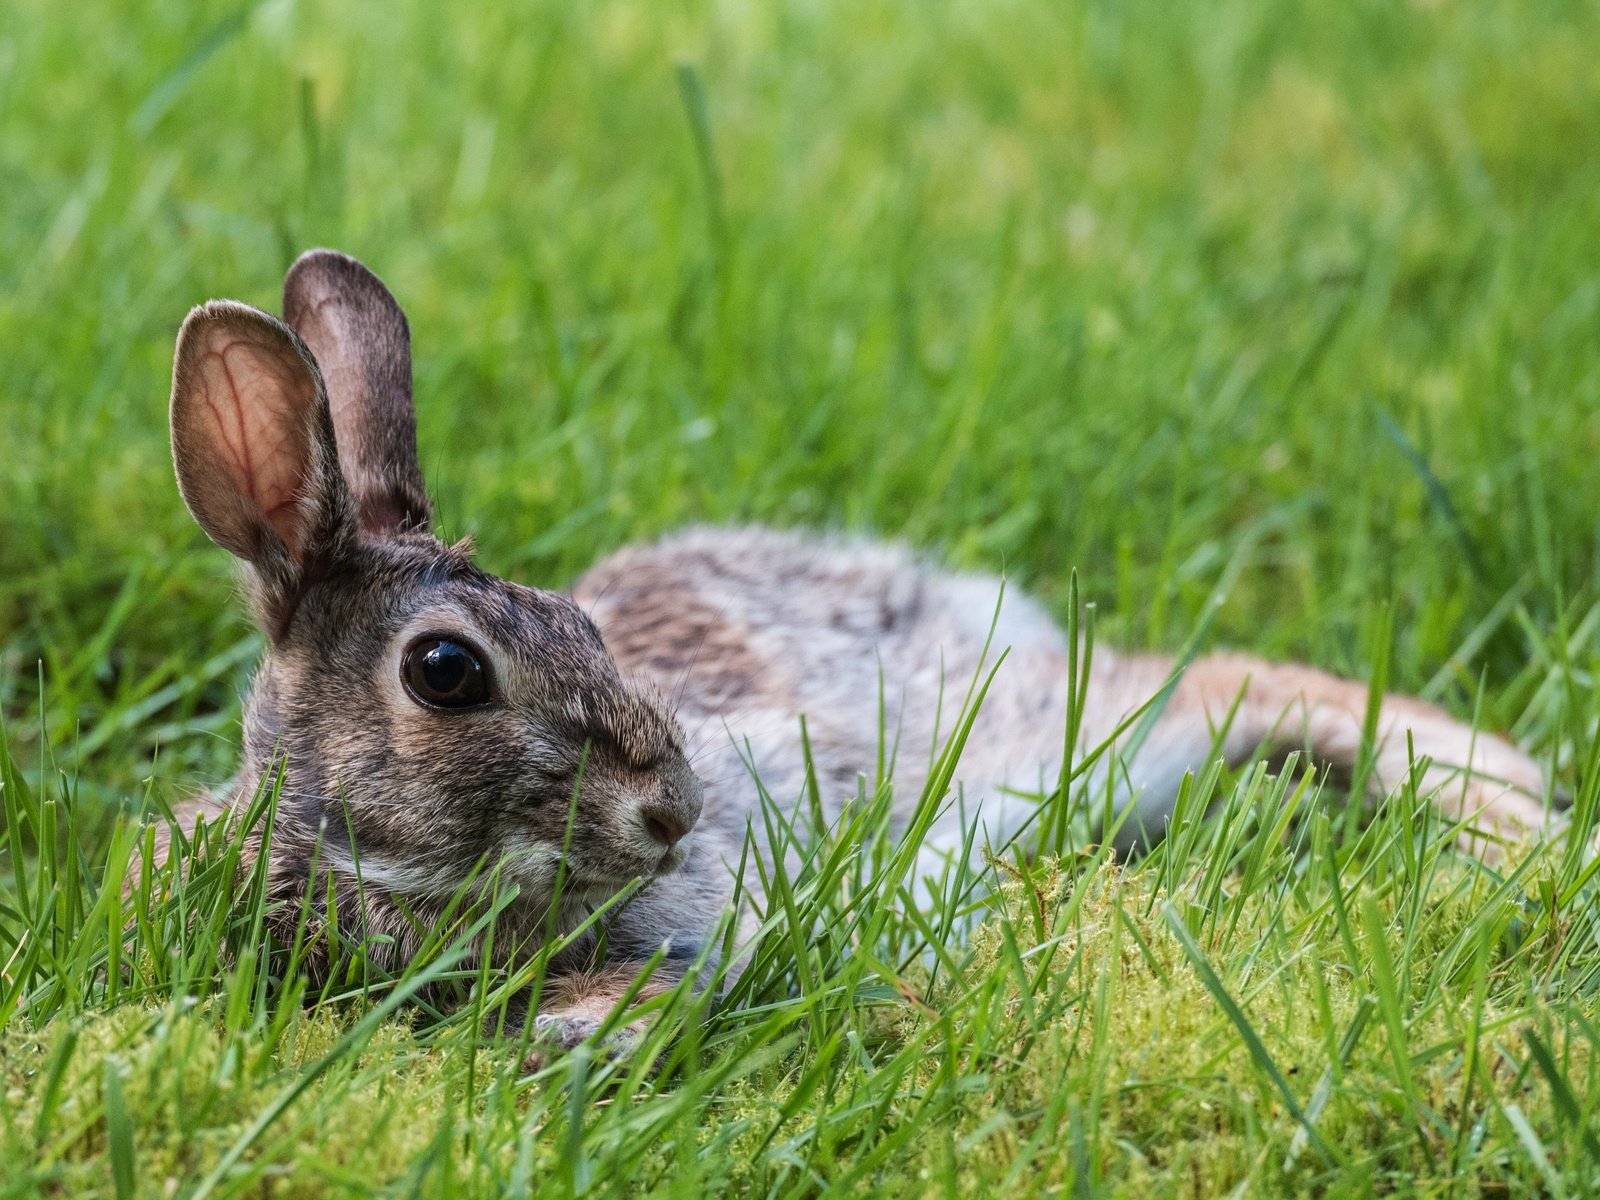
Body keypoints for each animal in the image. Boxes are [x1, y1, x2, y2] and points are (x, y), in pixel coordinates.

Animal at [168, 251, 1555, 1049]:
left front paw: (580, 1037)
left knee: (1214, 682)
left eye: (583, 621)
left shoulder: (704, 910)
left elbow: (688, 968)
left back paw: (1515, 816)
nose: (675, 808)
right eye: (446, 672)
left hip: (1042, 734)